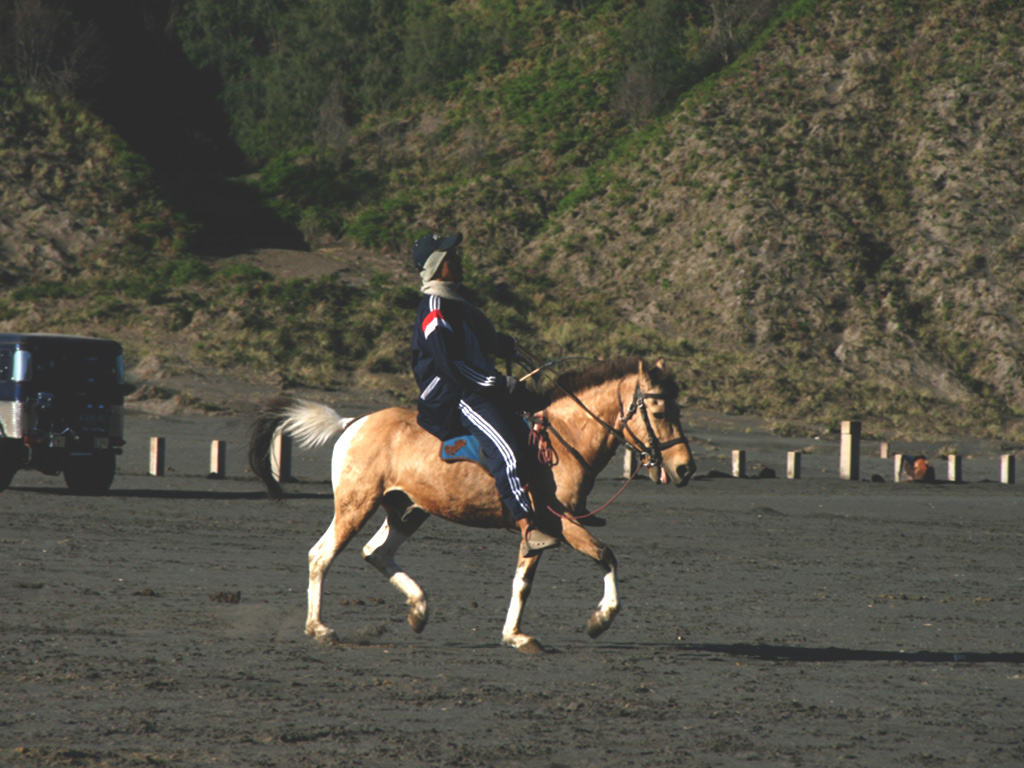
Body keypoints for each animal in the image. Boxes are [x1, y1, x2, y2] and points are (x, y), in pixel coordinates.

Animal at [248, 356, 696, 653]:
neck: (563, 439)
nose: (685, 468)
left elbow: (523, 582)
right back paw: (320, 629)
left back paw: (419, 609)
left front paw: (515, 635)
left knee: (377, 552)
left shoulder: (538, 530)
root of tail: (353, 423)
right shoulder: (557, 522)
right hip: (357, 505)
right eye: (658, 409)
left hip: (407, 510)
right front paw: (599, 620)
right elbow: (605, 556)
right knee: (321, 555)